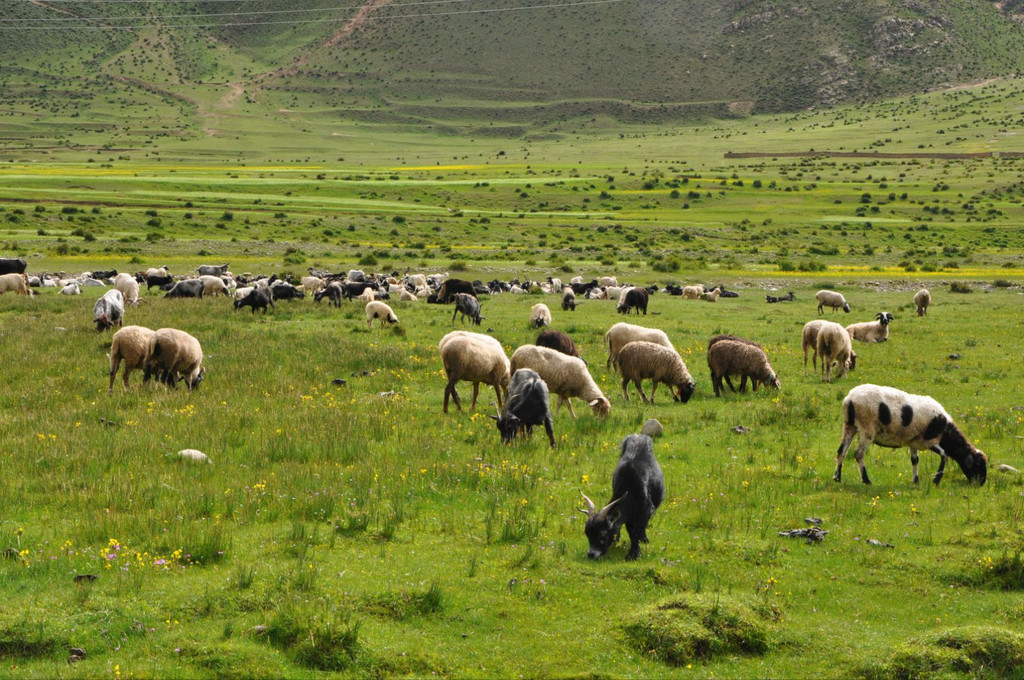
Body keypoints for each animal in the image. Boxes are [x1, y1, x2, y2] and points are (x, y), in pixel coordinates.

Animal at [835, 385, 987, 485]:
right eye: (978, 463)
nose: (981, 483)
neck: (945, 430)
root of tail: (849, 399)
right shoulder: (929, 440)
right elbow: (944, 455)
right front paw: (936, 480)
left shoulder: (914, 442)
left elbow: (915, 460)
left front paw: (915, 480)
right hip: (867, 428)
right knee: (858, 453)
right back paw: (866, 480)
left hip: (849, 426)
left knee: (841, 451)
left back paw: (837, 477)